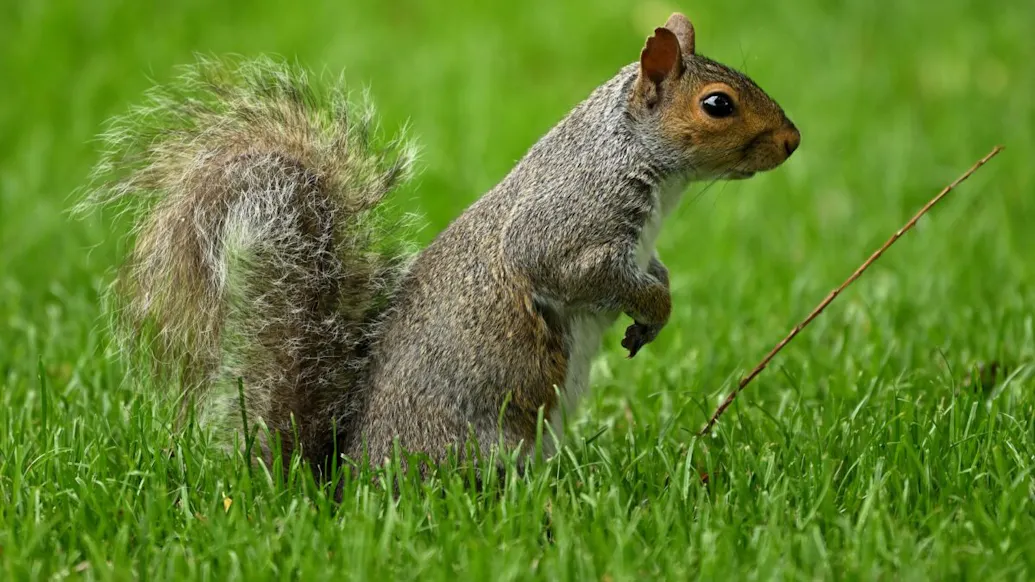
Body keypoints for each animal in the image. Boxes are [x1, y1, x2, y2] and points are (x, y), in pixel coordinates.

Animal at [79, 13, 799, 480]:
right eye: (717, 104)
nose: (792, 141)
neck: (630, 157)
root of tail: (346, 480)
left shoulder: (639, 245)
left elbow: (653, 271)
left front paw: (655, 308)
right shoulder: (568, 230)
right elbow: (582, 273)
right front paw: (654, 308)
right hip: (486, 441)